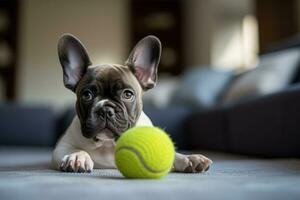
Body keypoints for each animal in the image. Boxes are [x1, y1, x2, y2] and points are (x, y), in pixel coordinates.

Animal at [51, 33, 212, 173]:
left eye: (127, 94)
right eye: (87, 95)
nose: (106, 110)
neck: (108, 144)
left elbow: (170, 152)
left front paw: (189, 158)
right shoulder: (62, 146)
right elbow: (76, 149)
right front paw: (77, 157)